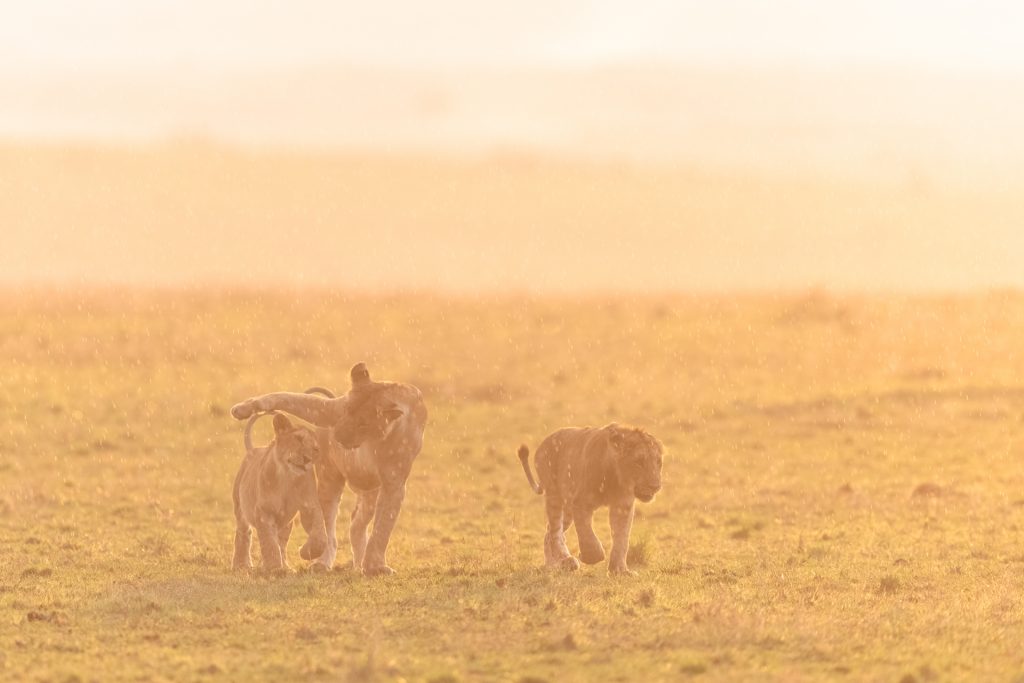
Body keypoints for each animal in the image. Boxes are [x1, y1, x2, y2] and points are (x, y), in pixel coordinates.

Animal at [232, 411, 328, 573]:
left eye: (316, 449)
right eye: (298, 439)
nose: (307, 459)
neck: (287, 478)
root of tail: (253, 450)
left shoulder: (310, 506)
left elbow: (320, 534)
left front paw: (306, 551)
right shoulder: (264, 511)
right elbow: (269, 542)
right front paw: (274, 568)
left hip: (286, 522)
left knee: (282, 542)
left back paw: (286, 566)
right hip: (240, 508)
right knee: (243, 534)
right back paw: (241, 565)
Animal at [518, 423, 663, 575]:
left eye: (659, 462)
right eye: (639, 462)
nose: (655, 486)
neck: (616, 479)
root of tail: (543, 443)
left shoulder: (623, 506)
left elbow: (622, 538)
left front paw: (619, 570)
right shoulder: (581, 502)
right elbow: (586, 532)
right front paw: (590, 556)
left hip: (567, 508)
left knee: (549, 533)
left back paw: (554, 565)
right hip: (554, 495)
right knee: (554, 532)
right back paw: (565, 561)